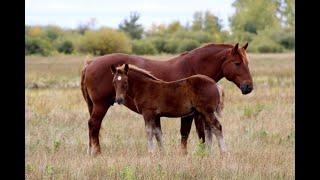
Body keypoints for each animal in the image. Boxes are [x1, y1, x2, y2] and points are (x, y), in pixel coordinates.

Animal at [80, 42, 252, 155]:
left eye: (247, 63)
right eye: (237, 63)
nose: (248, 87)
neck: (194, 66)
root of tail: (90, 63)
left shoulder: (192, 112)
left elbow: (191, 132)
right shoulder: (192, 113)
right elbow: (190, 132)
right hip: (101, 105)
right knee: (93, 125)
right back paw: (97, 153)